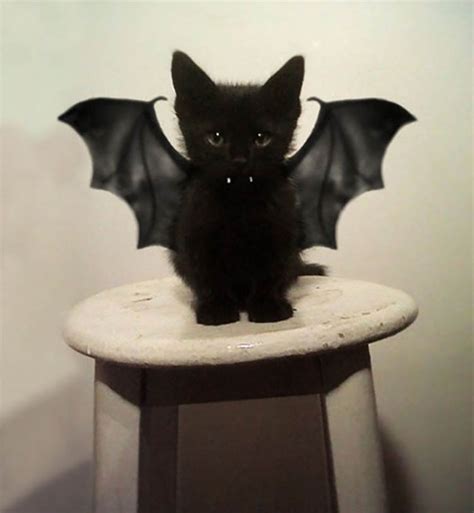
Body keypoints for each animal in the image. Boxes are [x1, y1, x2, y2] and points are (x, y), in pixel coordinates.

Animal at [169, 51, 325, 326]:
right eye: (216, 138)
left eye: (262, 138)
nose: (240, 160)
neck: (239, 202)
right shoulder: (195, 234)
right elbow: (209, 276)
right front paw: (217, 309)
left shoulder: (282, 233)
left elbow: (270, 273)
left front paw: (268, 307)